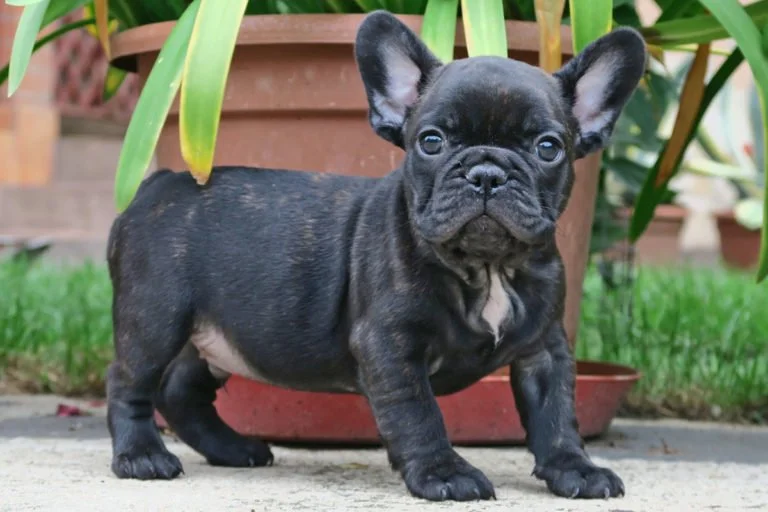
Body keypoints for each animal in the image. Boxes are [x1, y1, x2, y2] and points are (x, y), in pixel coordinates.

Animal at [106, 10, 648, 502]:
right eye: (431, 141)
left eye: (548, 147)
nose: (487, 173)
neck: (487, 267)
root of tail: (159, 183)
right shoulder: (391, 346)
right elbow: (418, 413)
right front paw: (444, 473)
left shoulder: (544, 349)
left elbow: (556, 413)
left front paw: (575, 468)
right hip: (155, 317)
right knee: (130, 382)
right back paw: (141, 456)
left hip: (219, 335)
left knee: (182, 390)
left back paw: (232, 449)